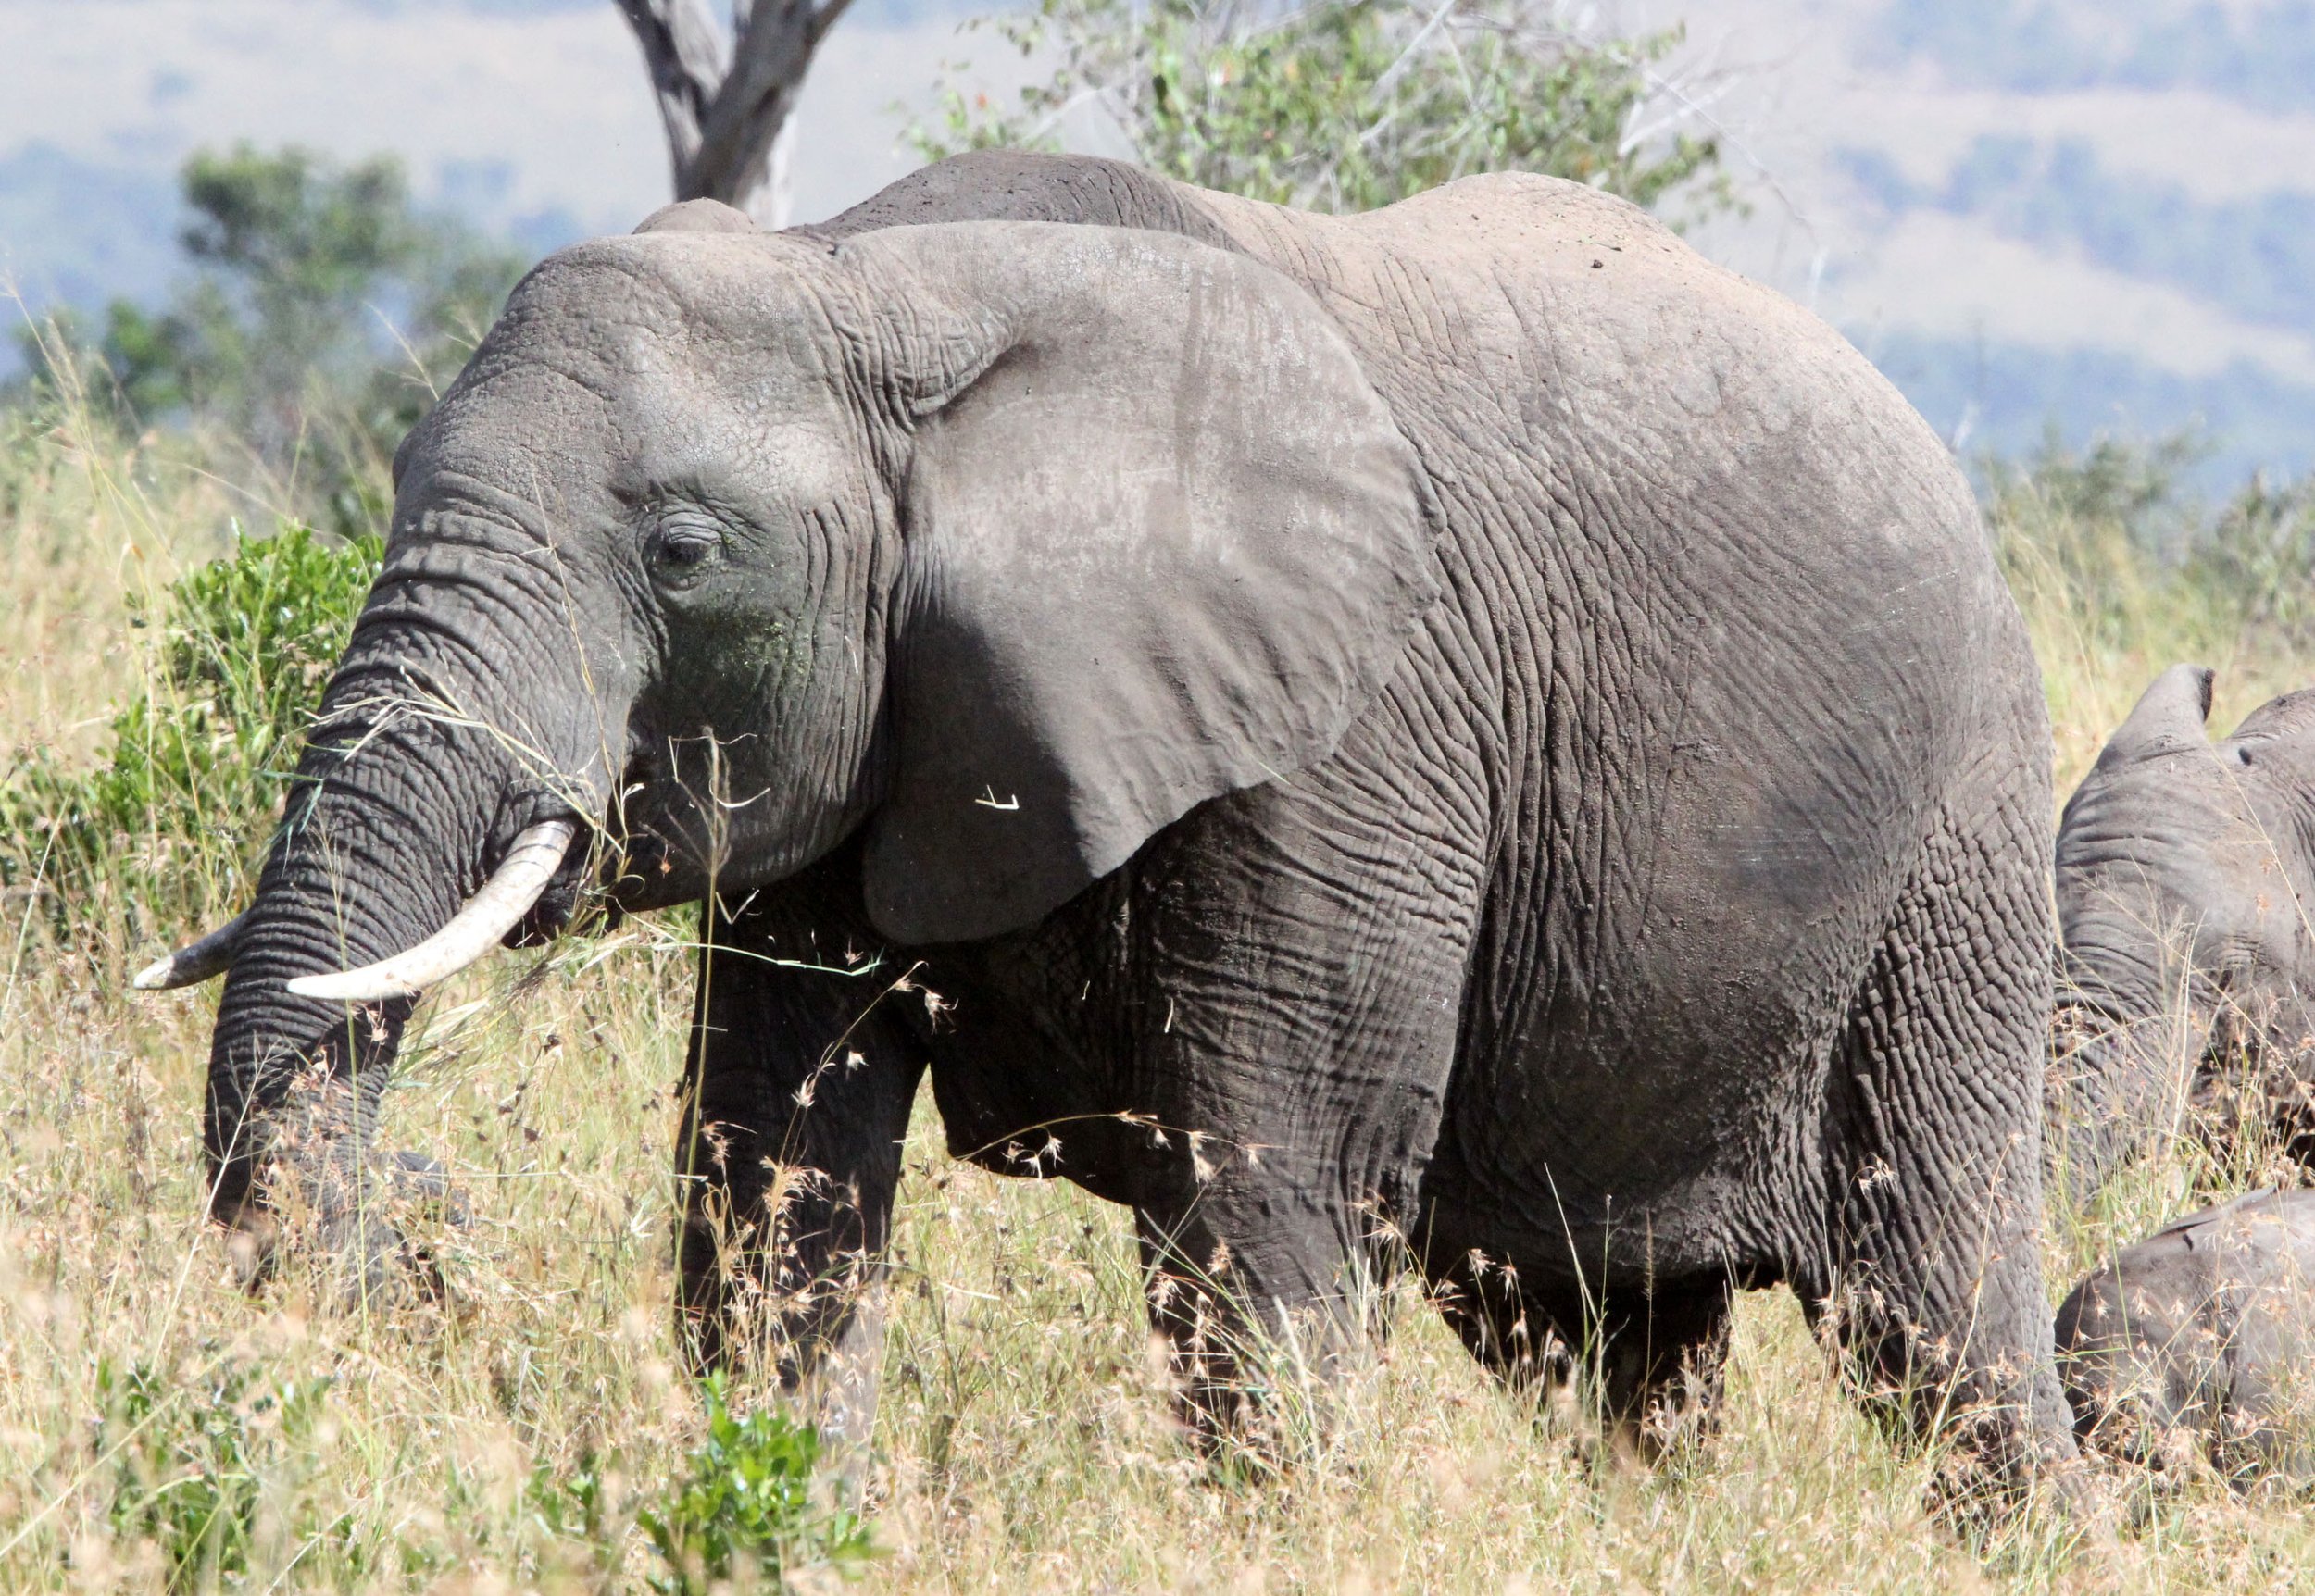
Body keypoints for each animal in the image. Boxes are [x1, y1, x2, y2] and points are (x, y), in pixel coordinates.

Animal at [141, 150, 2077, 1480]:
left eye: (681, 551)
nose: (429, 1227)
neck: (881, 288)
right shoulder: (878, 726)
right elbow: (772, 1168)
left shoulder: (1348, 734)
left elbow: (1273, 1198)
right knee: (1601, 1344)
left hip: (1955, 840)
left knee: (1937, 1315)